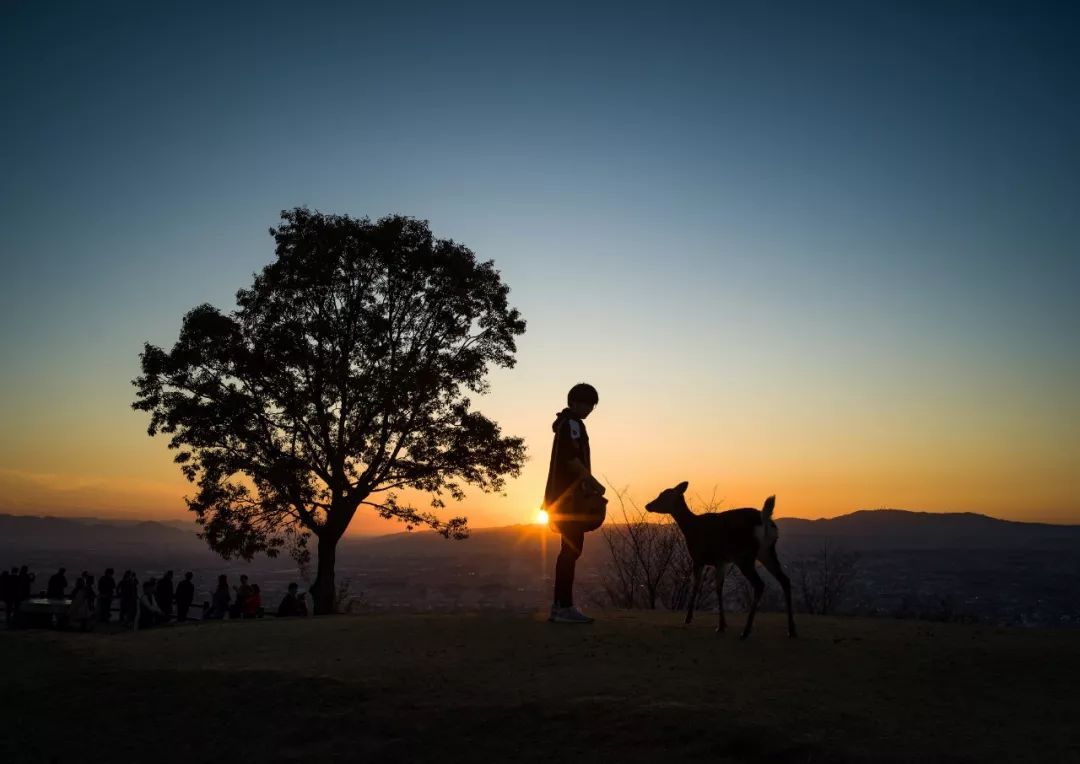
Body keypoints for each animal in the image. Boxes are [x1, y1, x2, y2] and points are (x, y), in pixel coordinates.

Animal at [643, 484, 799, 639]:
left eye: (663, 495)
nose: (648, 505)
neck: (691, 529)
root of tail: (765, 521)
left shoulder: (698, 558)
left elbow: (696, 585)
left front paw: (688, 618)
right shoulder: (721, 562)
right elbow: (719, 589)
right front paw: (722, 625)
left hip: (745, 556)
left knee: (760, 584)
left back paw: (746, 631)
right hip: (767, 552)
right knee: (785, 580)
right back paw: (791, 630)